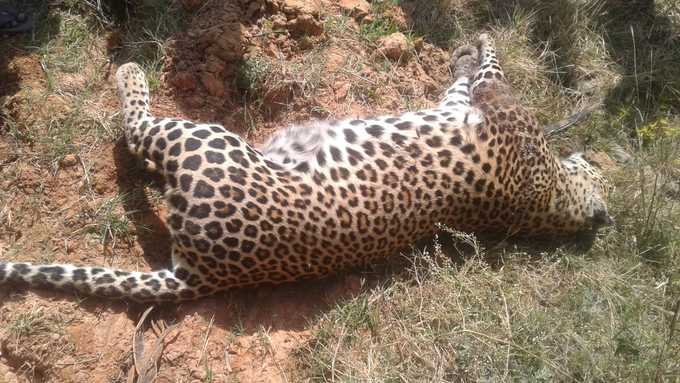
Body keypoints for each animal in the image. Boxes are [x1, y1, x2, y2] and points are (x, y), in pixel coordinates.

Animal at [0, 33, 612, 304]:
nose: (595, 158)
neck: (547, 200)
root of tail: (200, 277)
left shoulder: (500, 107)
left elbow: (491, 69)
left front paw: (480, 39)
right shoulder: (460, 106)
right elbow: (465, 80)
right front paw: (465, 49)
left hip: (206, 140)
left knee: (137, 129)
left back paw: (129, 71)